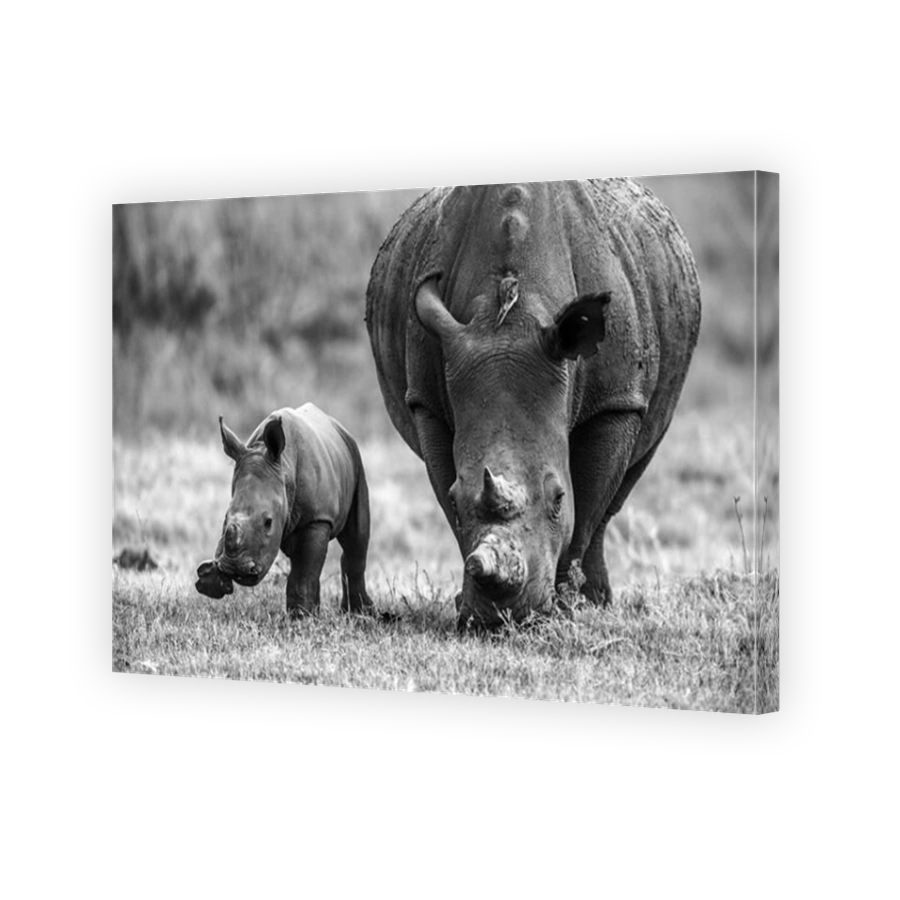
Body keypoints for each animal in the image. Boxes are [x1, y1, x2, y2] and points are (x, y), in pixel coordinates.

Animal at [195, 403, 373, 617]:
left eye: (268, 522)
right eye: (224, 518)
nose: (237, 569)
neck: (284, 468)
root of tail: (337, 426)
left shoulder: (317, 518)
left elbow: (304, 572)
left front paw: (299, 618)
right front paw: (209, 578)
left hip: (355, 458)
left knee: (356, 539)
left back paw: (358, 613)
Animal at [366, 179, 700, 628]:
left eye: (558, 498)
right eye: (455, 499)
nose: (502, 617)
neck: (510, 319)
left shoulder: (615, 401)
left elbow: (588, 504)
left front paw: (565, 607)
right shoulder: (427, 402)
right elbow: (448, 493)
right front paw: (466, 604)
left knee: (622, 486)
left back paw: (596, 600)